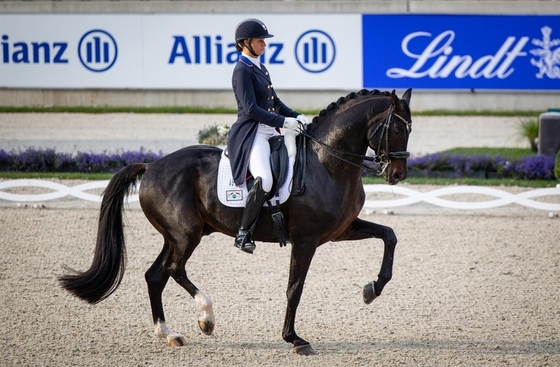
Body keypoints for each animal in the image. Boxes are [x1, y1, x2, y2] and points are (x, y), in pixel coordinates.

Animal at [59, 87, 414, 356]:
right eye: (397, 128)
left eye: (410, 129)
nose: (397, 175)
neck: (326, 162)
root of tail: (152, 166)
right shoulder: (306, 239)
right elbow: (294, 288)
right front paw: (294, 339)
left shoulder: (340, 230)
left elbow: (390, 235)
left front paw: (372, 290)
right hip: (187, 235)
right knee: (174, 270)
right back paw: (206, 318)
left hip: (177, 236)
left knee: (155, 275)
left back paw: (169, 334)